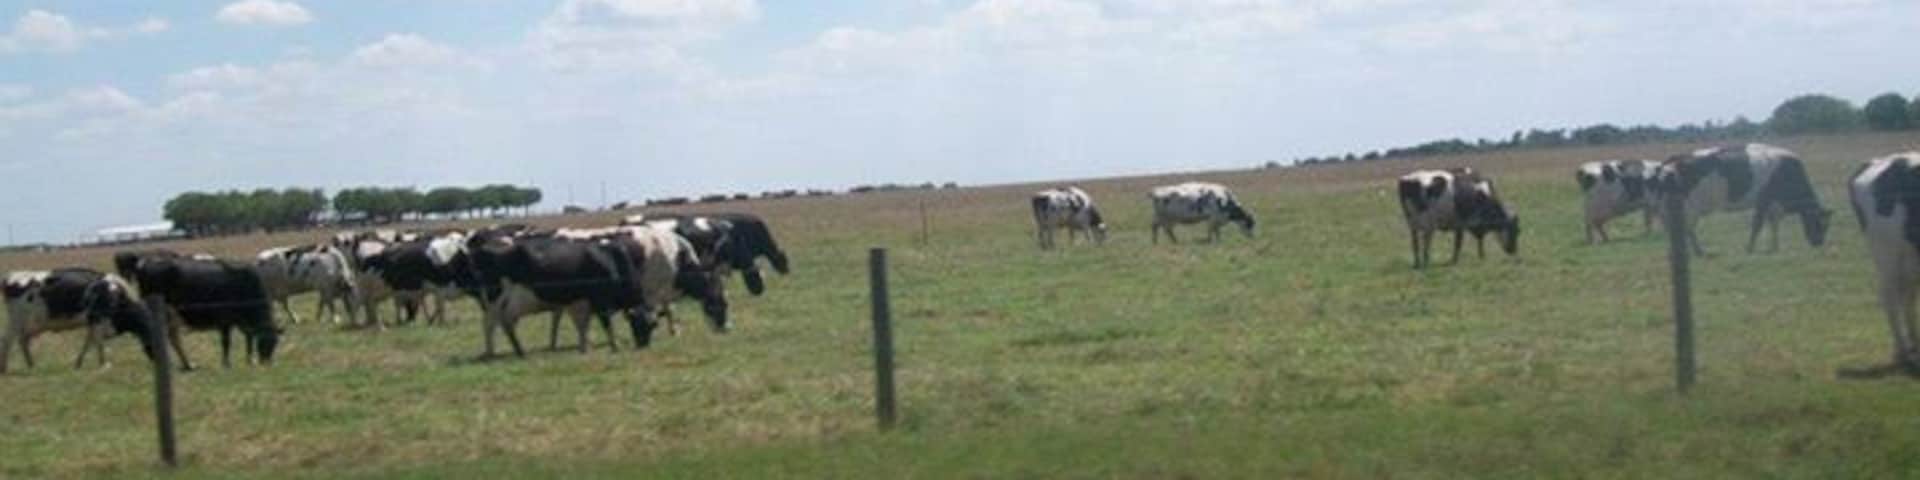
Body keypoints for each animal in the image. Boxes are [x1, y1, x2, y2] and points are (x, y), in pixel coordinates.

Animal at [2, 269, 158, 373]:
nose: (157, 362)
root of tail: (11, 277)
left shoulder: (93, 323)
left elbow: (89, 343)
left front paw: (79, 364)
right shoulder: (98, 320)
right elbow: (98, 344)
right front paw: (104, 364)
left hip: (28, 325)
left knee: (23, 340)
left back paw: (31, 365)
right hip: (16, 320)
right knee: (8, 341)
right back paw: (5, 368)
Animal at [124, 255, 280, 370]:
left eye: (275, 343)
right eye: (266, 341)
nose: (266, 363)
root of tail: (144, 262)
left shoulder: (242, 321)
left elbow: (249, 338)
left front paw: (249, 360)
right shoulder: (225, 319)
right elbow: (226, 342)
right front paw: (226, 364)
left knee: (172, 338)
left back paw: (187, 364)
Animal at [1651, 143, 1832, 255]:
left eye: (1827, 225)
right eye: (1818, 222)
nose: (1818, 243)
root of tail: (1673, 159)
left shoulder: (1773, 205)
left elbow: (1773, 224)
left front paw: (1775, 247)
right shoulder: (1763, 200)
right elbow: (1757, 225)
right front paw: (1750, 248)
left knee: (1675, 228)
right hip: (1689, 206)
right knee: (1686, 228)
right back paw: (1697, 251)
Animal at [1848, 151, 1920, 369]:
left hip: (1908, 259)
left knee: (1907, 297)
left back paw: (1912, 346)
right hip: (1888, 254)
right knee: (1890, 297)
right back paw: (1903, 352)